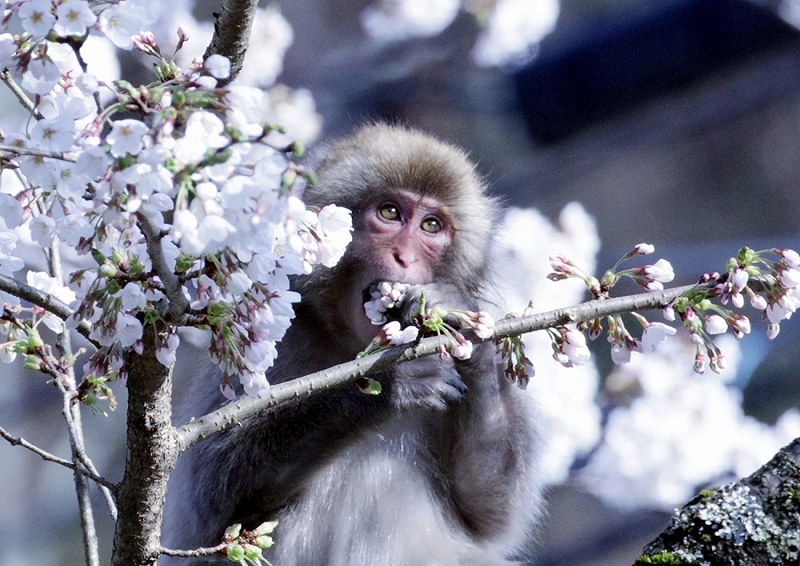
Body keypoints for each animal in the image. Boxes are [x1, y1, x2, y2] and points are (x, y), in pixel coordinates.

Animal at [161, 123, 543, 565]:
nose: (404, 257)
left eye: (431, 226)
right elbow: (212, 495)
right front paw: (391, 387)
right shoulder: (270, 335)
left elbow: (488, 509)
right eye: (390, 213)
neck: (349, 344)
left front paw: (459, 321)